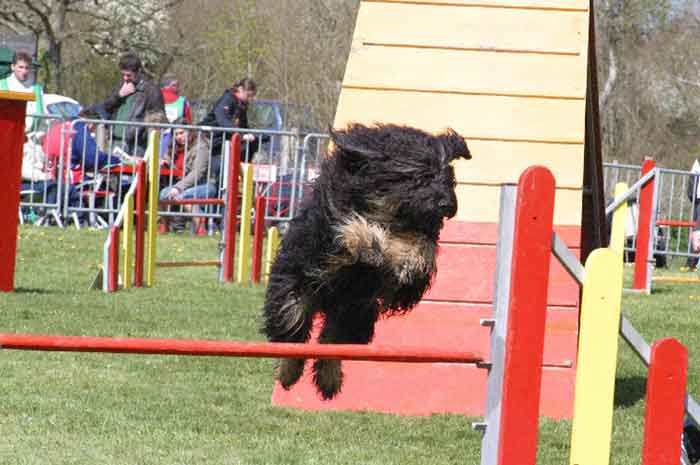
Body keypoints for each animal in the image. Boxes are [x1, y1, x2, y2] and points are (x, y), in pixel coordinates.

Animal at [262, 121, 470, 396]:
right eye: (420, 176)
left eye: (448, 178)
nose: (446, 204)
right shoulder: (328, 239)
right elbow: (356, 227)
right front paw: (372, 244)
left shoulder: (401, 280)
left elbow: (420, 247)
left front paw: (408, 259)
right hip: (293, 294)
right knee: (293, 333)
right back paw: (288, 374)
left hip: (357, 311)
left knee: (332, 343)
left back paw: (329, 379)